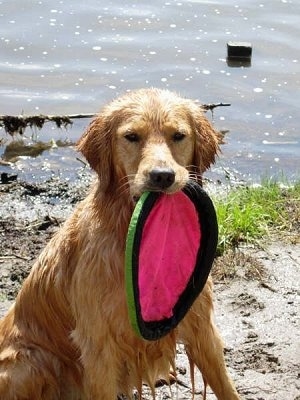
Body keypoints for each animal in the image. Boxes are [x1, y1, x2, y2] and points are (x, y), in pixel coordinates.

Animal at [0, 89, 239, 398]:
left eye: (178, 136)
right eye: (132, 136)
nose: (162, 176)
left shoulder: (202, 326)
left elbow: (227, 386)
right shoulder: (98, 346)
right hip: (28, 362)